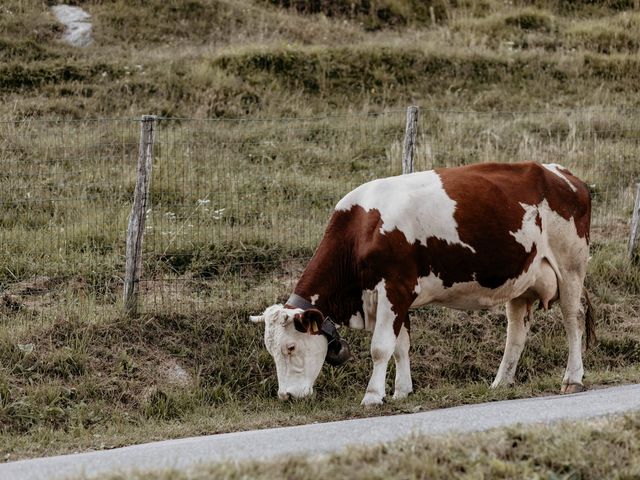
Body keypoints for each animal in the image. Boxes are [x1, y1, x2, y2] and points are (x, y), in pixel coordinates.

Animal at [248, 161, 592, 404]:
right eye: (270, 350)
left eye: (291, 347)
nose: (286, 396)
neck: (363, 228)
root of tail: (562, 174)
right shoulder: (399, 297)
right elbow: (401, 346)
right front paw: (401, 392)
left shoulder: (394, 289)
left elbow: (381, 347)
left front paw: (373, 396)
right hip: (521, 279)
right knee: (517, 331)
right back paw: (501, 382)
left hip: (571, 267)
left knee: (573, 319)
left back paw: (572, 378)